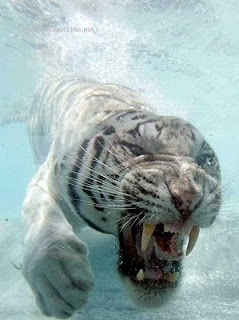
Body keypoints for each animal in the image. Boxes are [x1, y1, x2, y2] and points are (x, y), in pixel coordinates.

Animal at [21, 77, 221, 318]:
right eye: (135, 149)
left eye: (205, 159)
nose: (189, 196)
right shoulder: (47, 178)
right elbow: (42, 220)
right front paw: (59, 282)